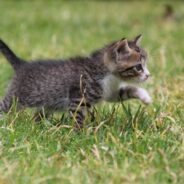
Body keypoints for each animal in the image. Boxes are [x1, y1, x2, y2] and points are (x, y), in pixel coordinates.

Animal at [0, 35, 151, 129]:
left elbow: (126, 91)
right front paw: (79, 135)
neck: (108, 74)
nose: (148, 75)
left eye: (145, 65)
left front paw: (145, 97)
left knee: (38, 115)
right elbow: (77, 118)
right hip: (15, 98)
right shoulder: (78, 99)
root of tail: (22, 64)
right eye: (138, 67)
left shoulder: (109, 92)